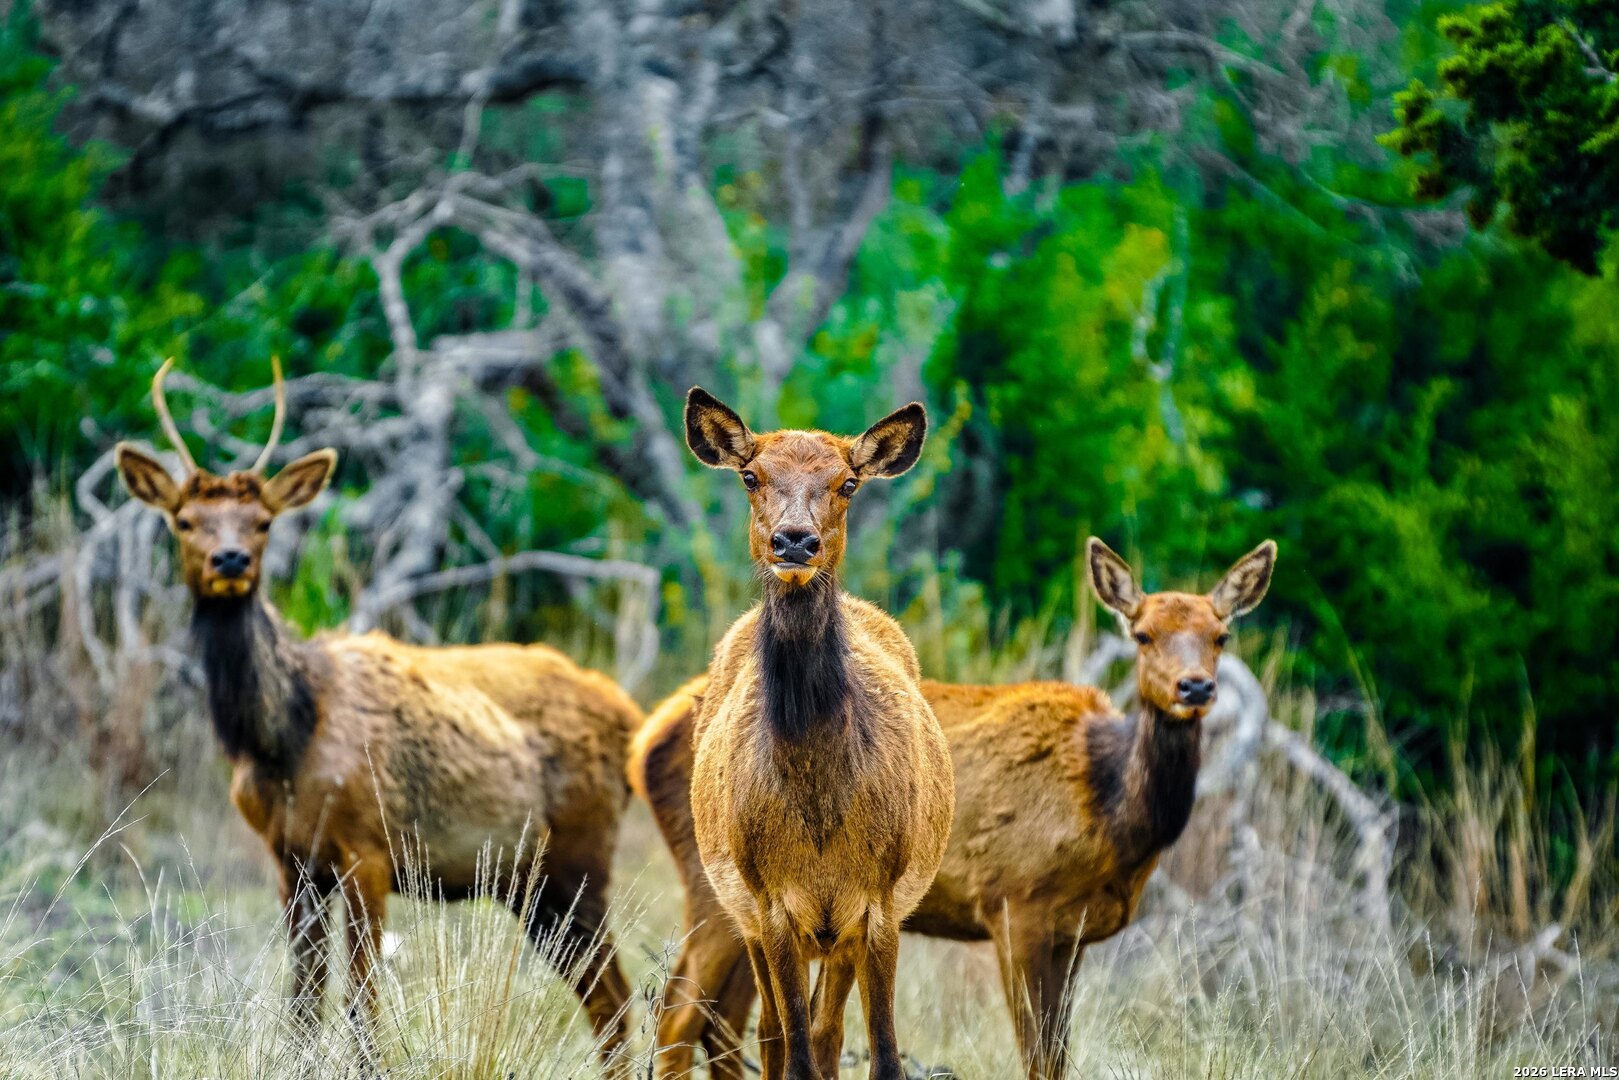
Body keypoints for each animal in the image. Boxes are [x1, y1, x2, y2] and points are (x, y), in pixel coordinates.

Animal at [111, 360, 641, 1071]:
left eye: (263, 522)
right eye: (185, 521)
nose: (231, 561)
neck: (282, 741)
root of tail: (629, 717)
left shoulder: (367, 846)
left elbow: (361, 1006)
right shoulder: (292, 860)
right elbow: (303, 1007)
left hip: (581, 856)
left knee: (618, 994)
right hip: (529, 882)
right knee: (607, 996)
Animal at [634, 536, 1277, 1080]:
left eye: (1221, 635)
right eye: (1141, 634)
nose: (1195, 688)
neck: (1113, 815)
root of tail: (645, 740)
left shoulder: (1072, 933)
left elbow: (1058, 1055)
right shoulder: (1015, 905)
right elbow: (1038, 1057)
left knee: (729, 1021)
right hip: (716, 884)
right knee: (681, 1013)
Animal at [679, 388, 955, 1080]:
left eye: (847, 483)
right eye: (751, 476)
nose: (795, 541)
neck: (821, 805)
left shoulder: (881, 903)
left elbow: (882, 1055)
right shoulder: (770, 902)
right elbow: (792, 1051)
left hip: (837, 936)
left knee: (828, 1031)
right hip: (746, 914)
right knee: (774, 1033)